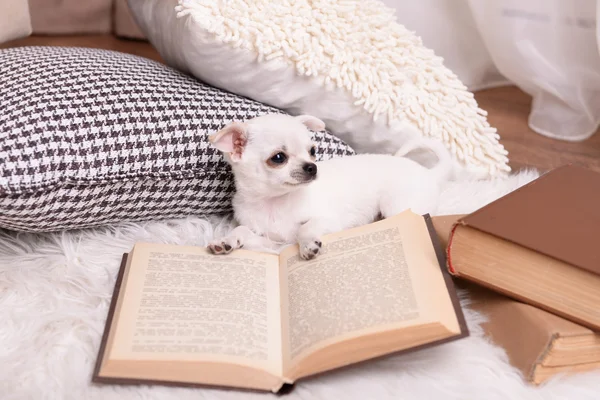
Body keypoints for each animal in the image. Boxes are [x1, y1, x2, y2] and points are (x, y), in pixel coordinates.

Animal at [206, 114, 450, 260]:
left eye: (312, 151)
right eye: (278, 158)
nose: (312, 167)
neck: (275, 202)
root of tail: (430, 173)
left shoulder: (328, 221)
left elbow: (305, 228)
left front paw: (307, 245)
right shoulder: (269, 241)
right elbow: (242, 231)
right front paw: (225, 241)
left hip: (398, 206)